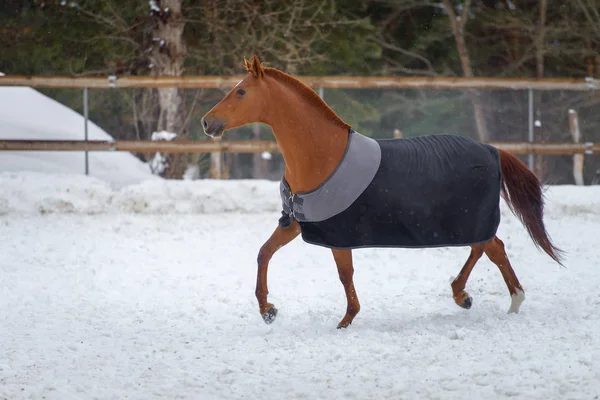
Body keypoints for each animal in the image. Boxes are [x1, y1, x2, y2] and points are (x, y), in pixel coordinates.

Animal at [203, 54, 564, 328]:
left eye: (240, 92)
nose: (207, 123)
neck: (324, 155)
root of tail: (491, 149)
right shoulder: (298, 222)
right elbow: (264, 253)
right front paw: (268, 311)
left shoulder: (339, 232)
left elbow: (344, 274)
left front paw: (346, 319)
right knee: (492, 248)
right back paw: (497, 299)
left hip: (469, 219)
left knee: (488, 247)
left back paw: (476, 296)